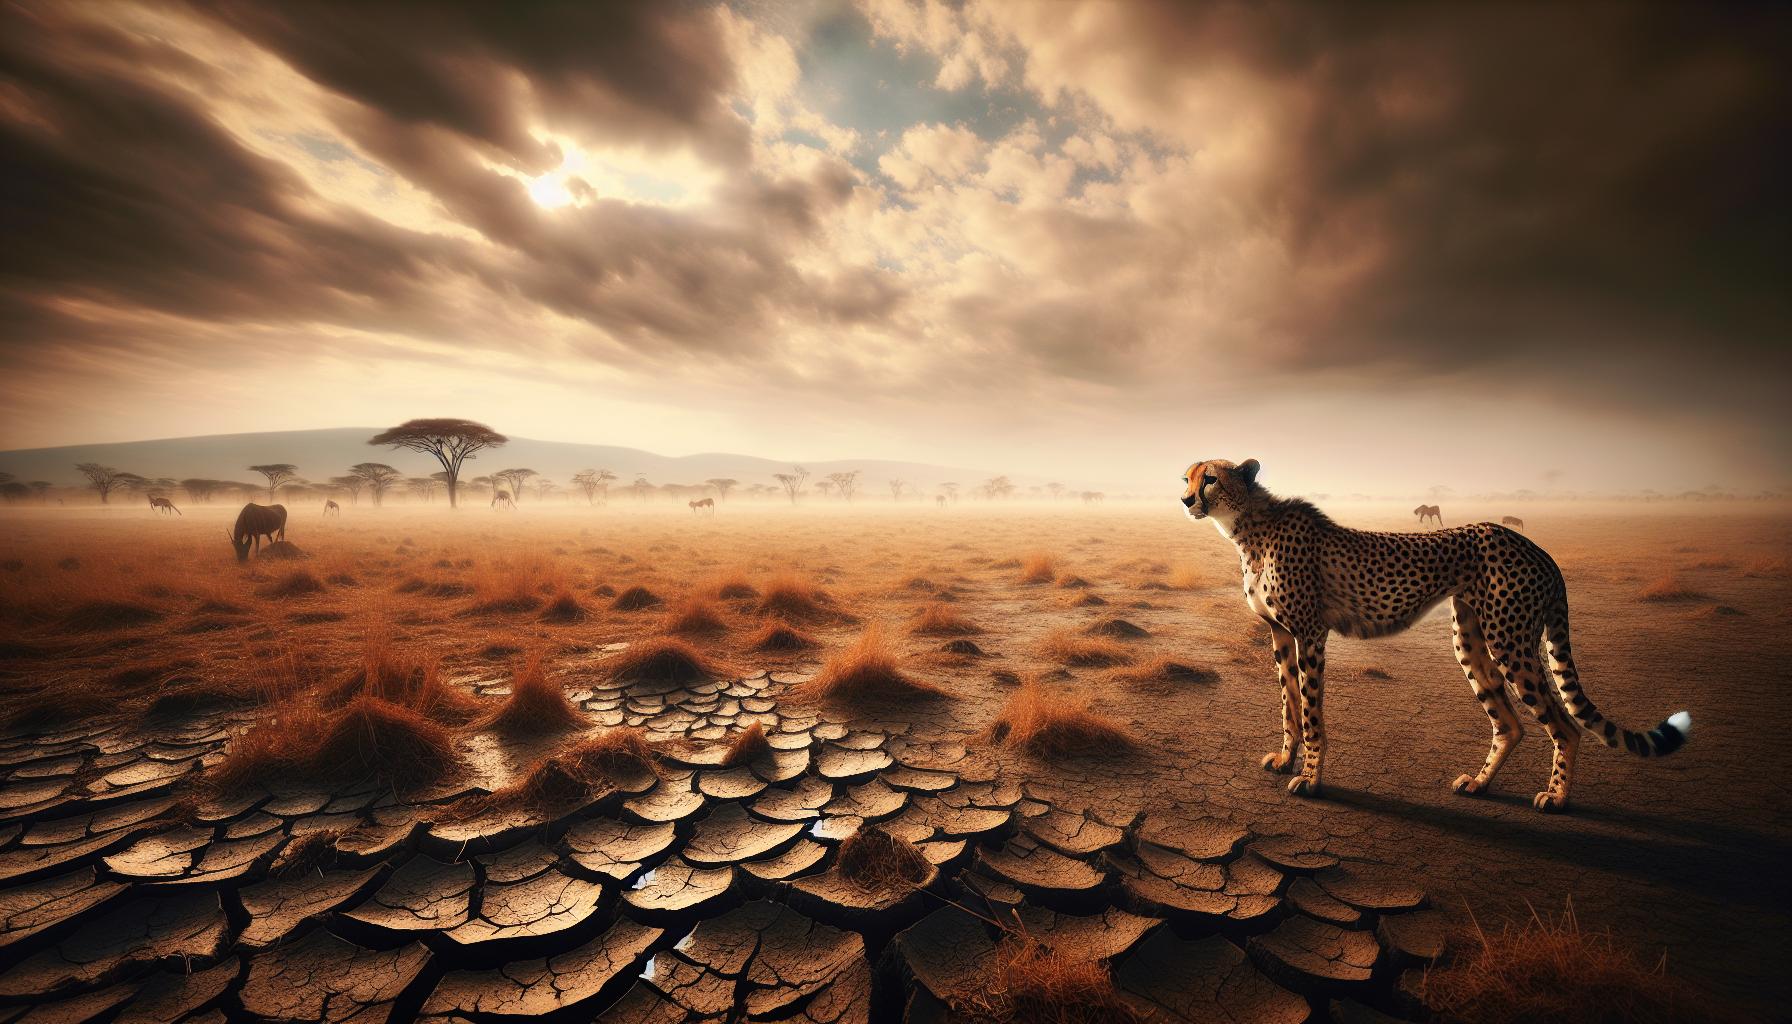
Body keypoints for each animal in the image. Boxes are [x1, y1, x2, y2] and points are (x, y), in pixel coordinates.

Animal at [1182, 458, 1691, 812]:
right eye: (1186, 478)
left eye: (1210, 479)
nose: (1186, 501)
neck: (1249, 528)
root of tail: (1537, 547)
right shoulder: (1281, 635)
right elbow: (1288, 703)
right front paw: (1286, 759)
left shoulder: (1309, 633)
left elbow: (1310, 713)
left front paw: (1310, 779)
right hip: (1471, 639)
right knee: (1509, 724)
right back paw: (1480, 784)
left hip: (1509, 640)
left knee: (1564, 725)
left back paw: (1558, 799)